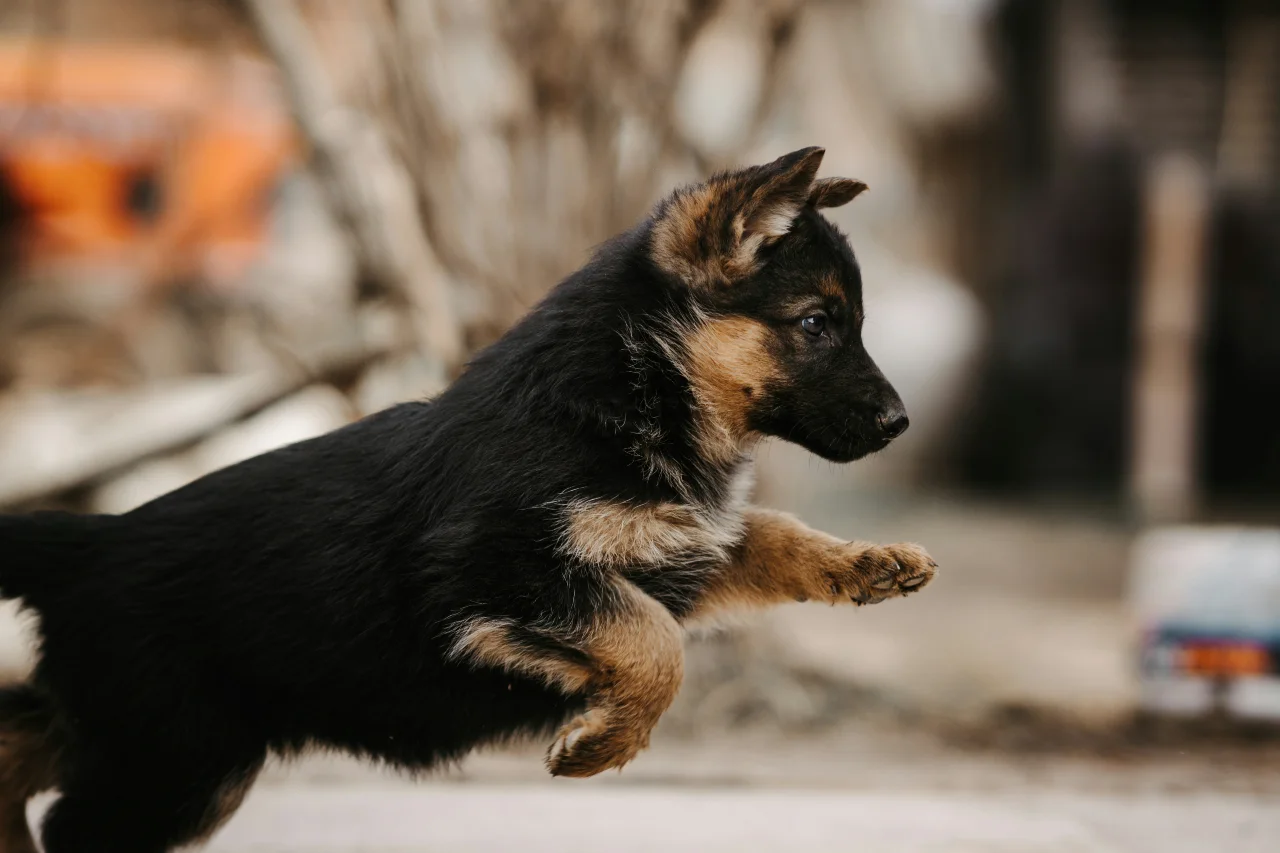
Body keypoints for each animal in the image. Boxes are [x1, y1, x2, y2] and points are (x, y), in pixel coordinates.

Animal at [0, 146, 936, 845]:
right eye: (815, 324)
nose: (901, 424)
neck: (635, 386)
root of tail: (91, 540)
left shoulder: (676, 546)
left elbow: (765, 534)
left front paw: (867, 564)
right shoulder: (495, 569)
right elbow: (654, 640)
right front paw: (602, 742)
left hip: (140, 734)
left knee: (18, 740)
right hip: (176, 759)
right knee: (70, 822)